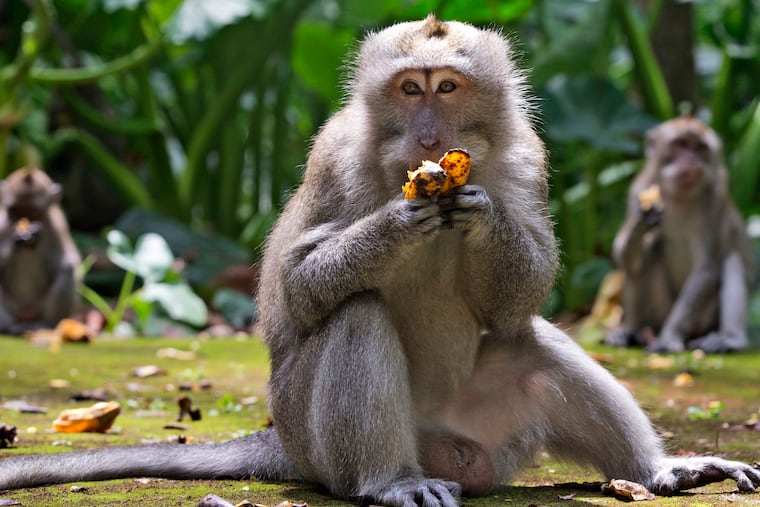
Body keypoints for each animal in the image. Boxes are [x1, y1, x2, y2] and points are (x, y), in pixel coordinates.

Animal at [0, 167, 81, 335]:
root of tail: (27, 313)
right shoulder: (1, 223)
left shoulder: (57, 226)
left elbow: (70, 259)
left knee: (67, 267)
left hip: (40, 307)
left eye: (34, 212)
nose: (24, 220)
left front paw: (34, 238)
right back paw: (8, 326)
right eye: (15, 211)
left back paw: (48, 324)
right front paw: (16, 240)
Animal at [608, 117, 756, 353]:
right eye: (681, 144)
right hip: (659, 312)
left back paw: (730, 338)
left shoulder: (716, 197)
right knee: (646, 257)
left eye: (701, 148)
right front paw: (643, 220)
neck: (679, 195)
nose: (692, 160)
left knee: (732, 259)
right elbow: (623, 257)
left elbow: (706, 267)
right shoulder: (638, 188)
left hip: (704, 320)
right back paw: (631, 331)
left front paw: (669, 337)